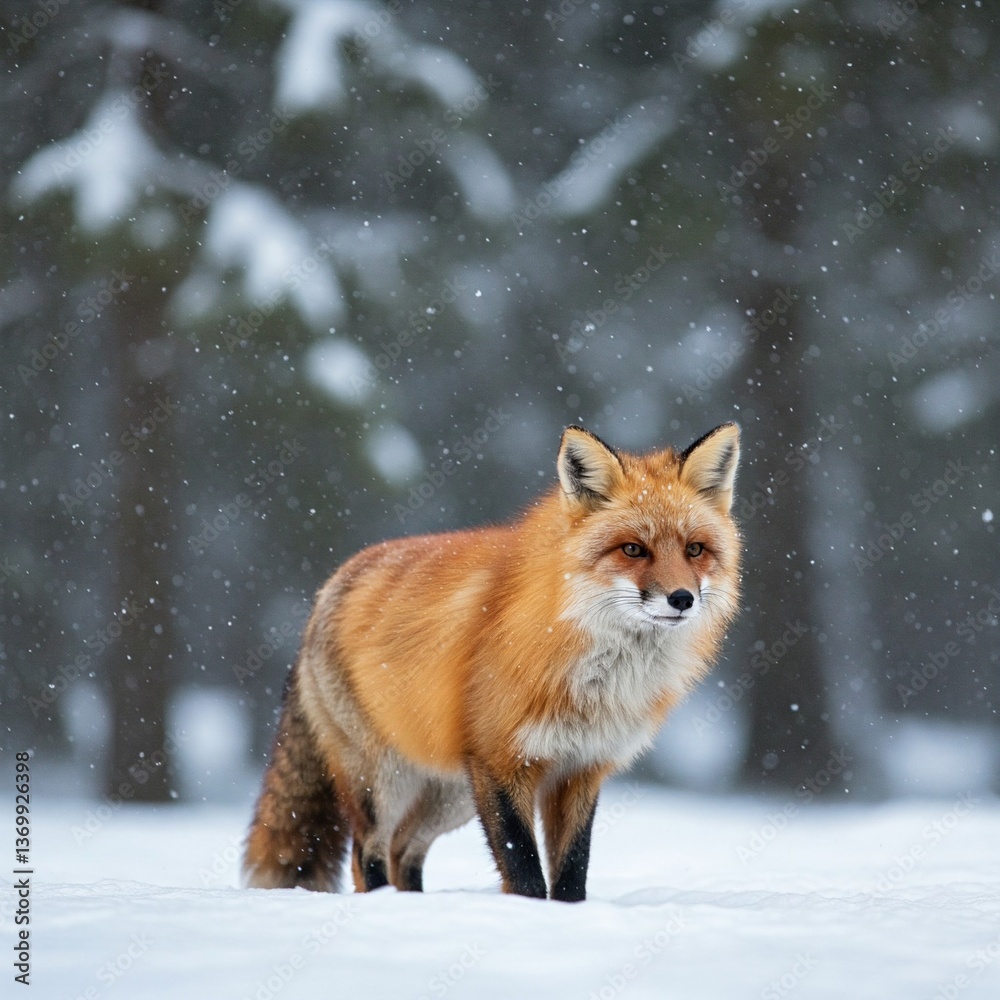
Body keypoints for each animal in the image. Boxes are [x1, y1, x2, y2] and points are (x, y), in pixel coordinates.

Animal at [243, 422, 741, 901]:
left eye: (694, 549)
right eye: (633, 549)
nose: (682, 599)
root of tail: (326, 588)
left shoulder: (581, 767)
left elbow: (571, 875)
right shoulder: (501, 762)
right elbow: (523, 871)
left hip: (451, 794)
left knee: (404, 849)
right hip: (385, 780)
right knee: (367, 853)